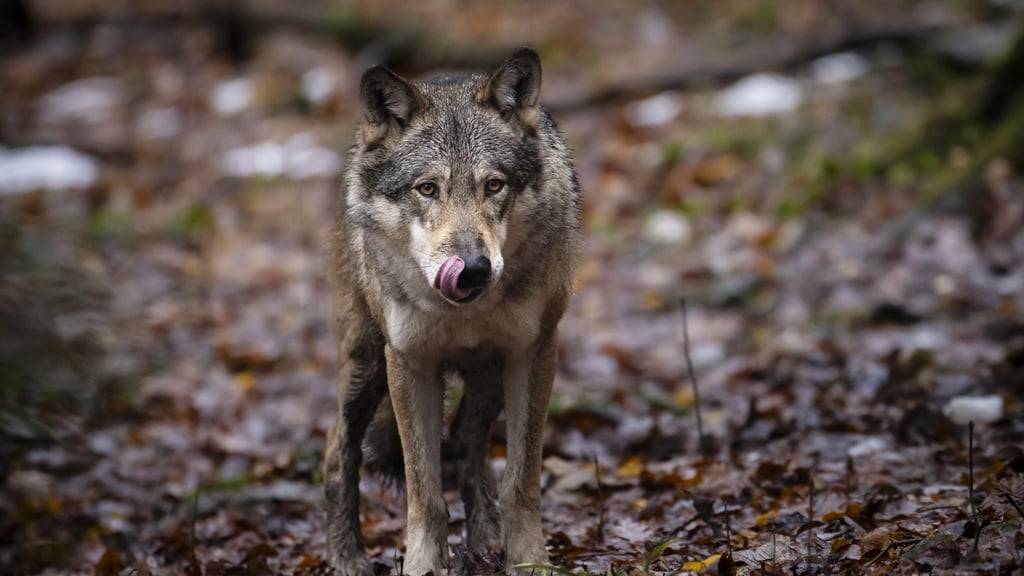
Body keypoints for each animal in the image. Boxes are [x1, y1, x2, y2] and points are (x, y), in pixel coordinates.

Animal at [325, 47, 585, 569]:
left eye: (494, 186)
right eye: (427, 189)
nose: (473, 270)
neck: (462, 313)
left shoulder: (533, 353)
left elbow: (521, 481)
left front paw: (530, 562)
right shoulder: (409, 363)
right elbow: (423, 492)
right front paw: (424, 566)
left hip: (487, 378)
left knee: (468, 442)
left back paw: (484, 541)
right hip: (366, 364)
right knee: (337, 448)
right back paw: (347, 558)